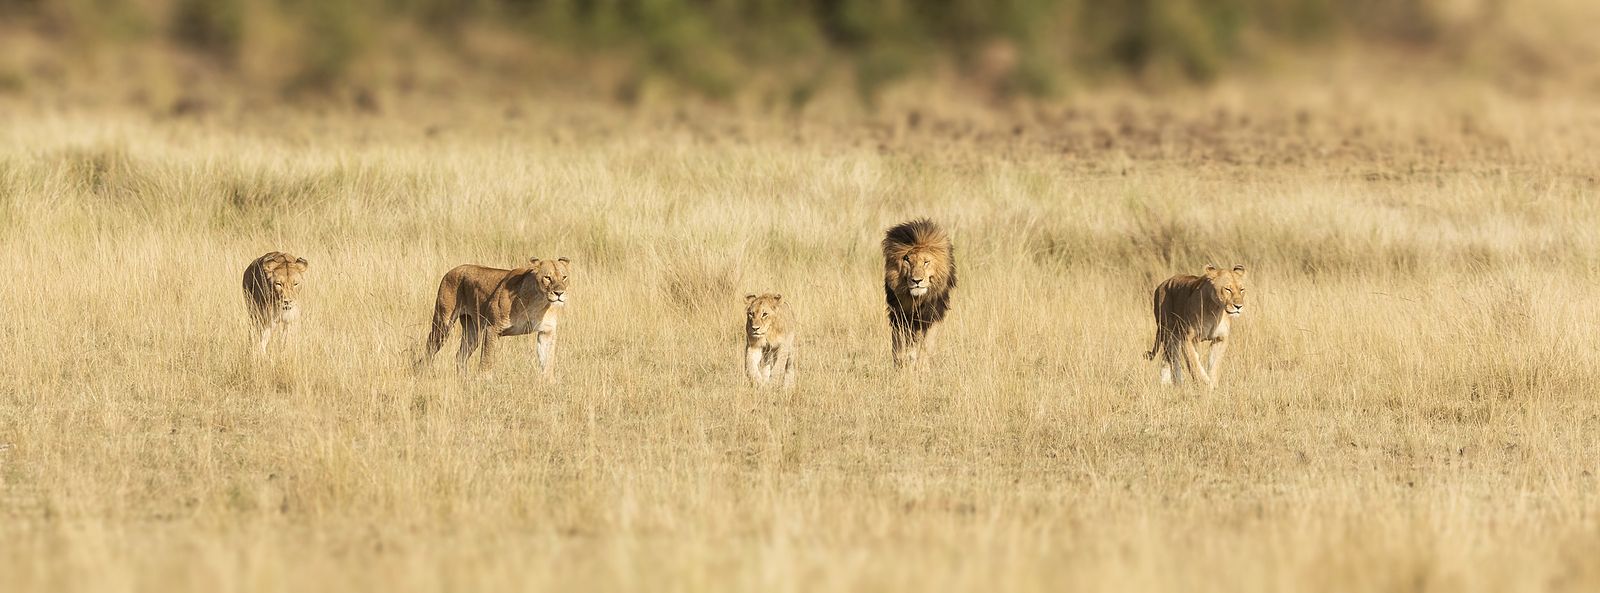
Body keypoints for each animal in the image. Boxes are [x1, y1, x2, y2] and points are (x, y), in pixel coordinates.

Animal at [415, 257, 570, 378]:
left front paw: (549, 383)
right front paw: (484, 381)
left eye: (564, 277)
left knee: (460, 356)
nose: (559, 293)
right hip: (443, 324)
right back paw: (425, 373)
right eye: (547, 277)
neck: (538, 302)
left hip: (473, 332)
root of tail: (452, 270)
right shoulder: (493, 328)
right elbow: (487, 358)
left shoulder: (547, 332)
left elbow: (548, 360)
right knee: (430, 348)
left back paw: (463, 380)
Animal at [882, 218, 956, 369]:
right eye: (907, 260)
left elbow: (926, 347)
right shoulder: (898, 315)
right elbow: (898, 346)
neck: (916, 300)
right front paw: (901, 365)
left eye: (926, 262)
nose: (917, 280)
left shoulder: (932, 315)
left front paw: (921, 367)